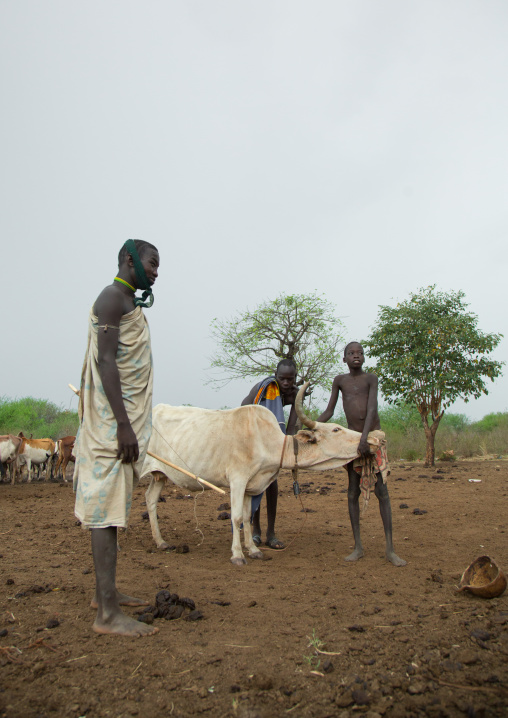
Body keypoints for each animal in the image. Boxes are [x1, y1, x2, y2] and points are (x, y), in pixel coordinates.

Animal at [141, 382, 384, 565]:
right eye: (336, 429)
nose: (373, 439)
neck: (268, 442)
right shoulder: (237, 480)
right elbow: (236, 517)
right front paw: (238, 555)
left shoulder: (252, 486)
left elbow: (248, 517)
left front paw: (254, 550)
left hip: (160, 474)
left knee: (150, 499)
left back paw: (161, 542)